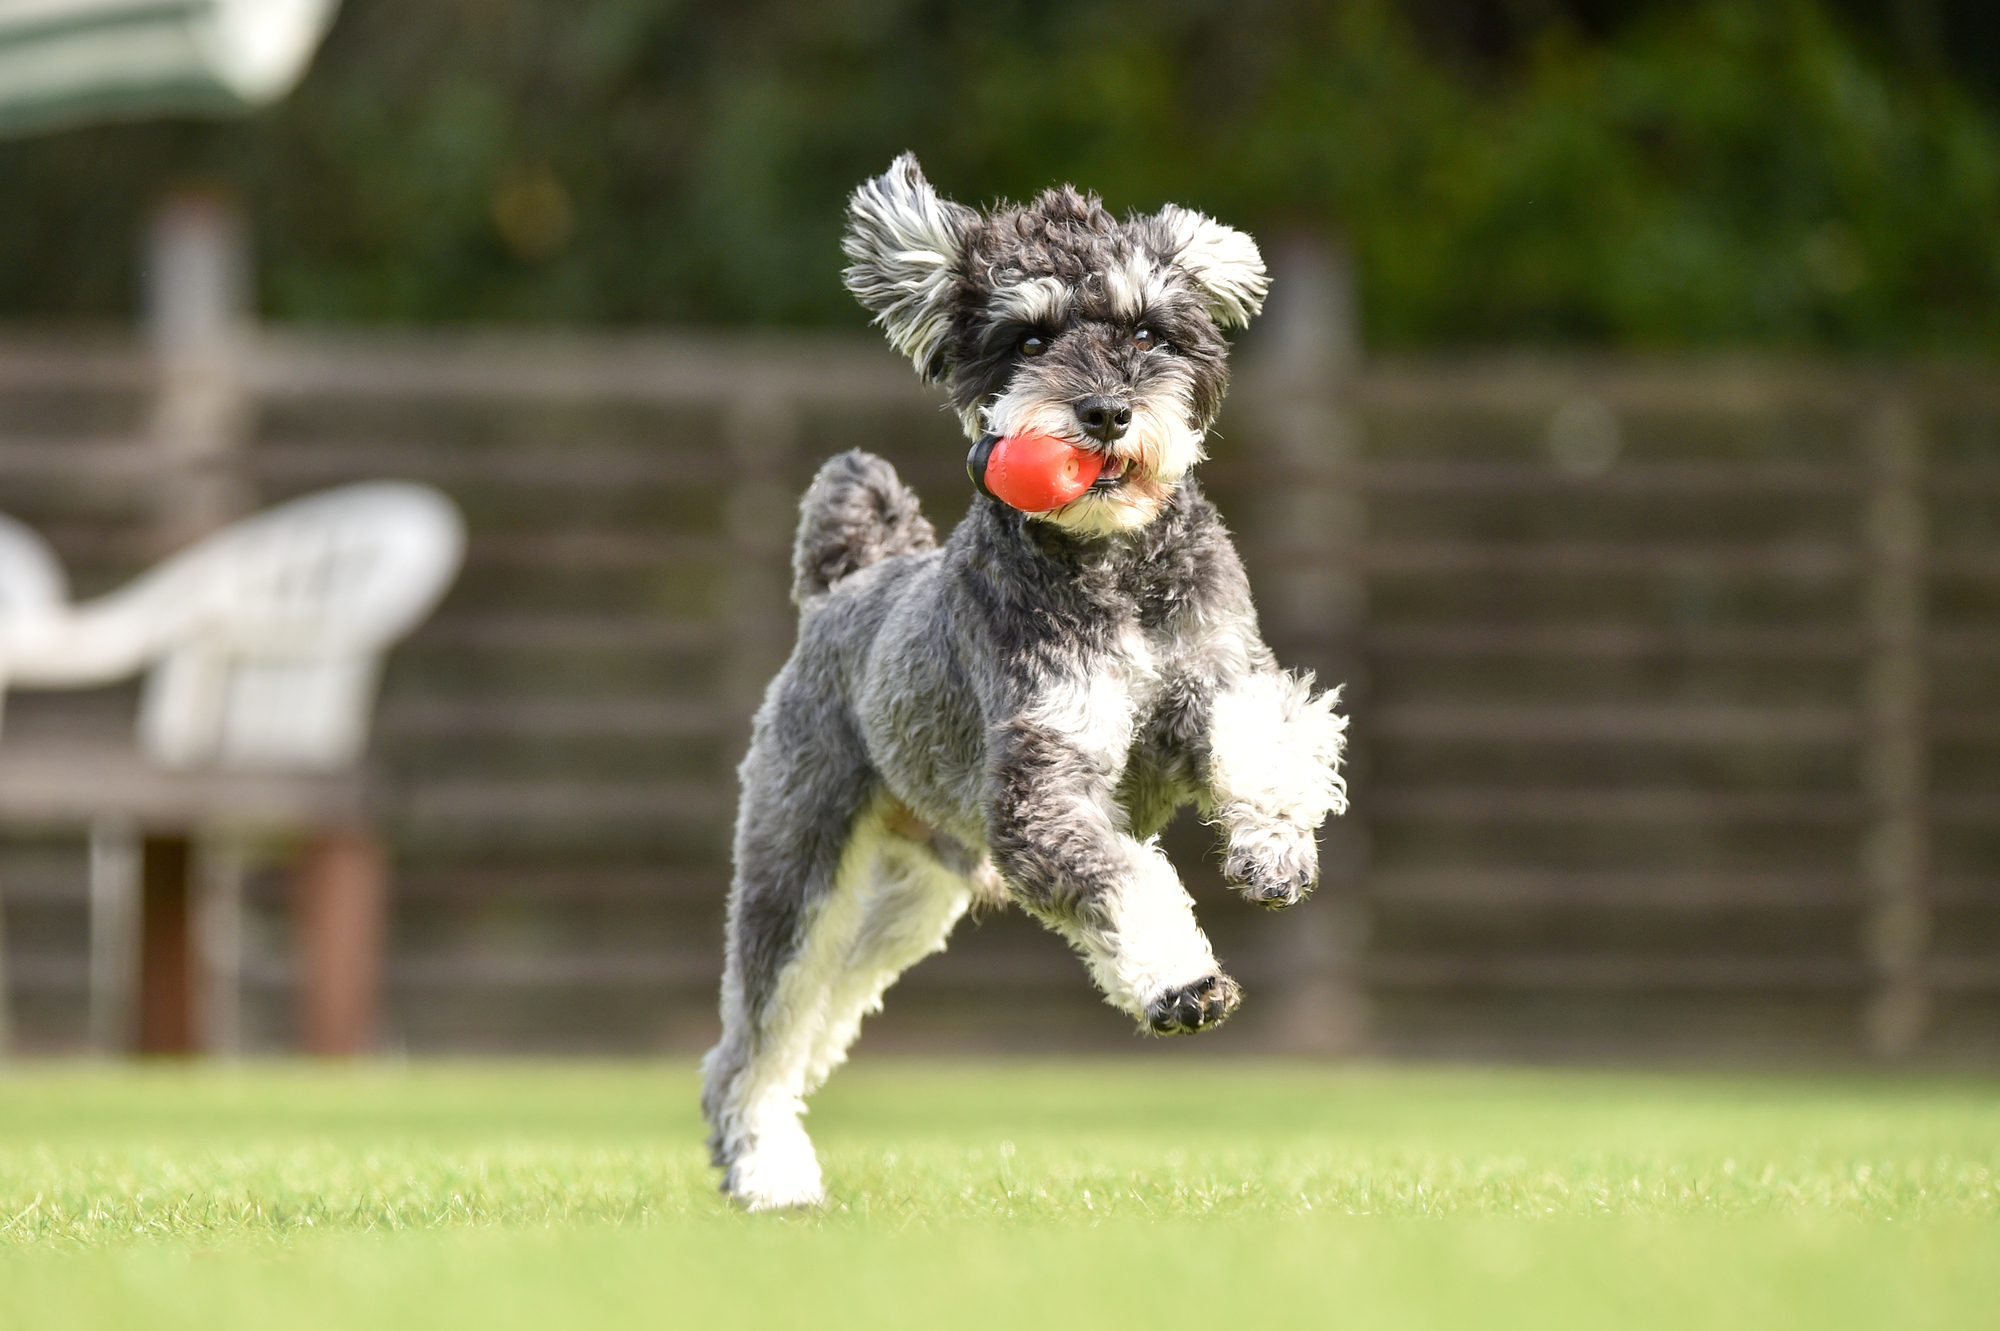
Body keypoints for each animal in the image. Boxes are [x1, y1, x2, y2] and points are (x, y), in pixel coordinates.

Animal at [700, 152, 1344, 1199]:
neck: (1111, 562)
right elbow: (1122, 877)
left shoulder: (1223, 672)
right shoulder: (1042, 788)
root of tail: (846, 582)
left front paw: (1274, 849)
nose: (1106, 411)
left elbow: (1260, 736)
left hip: (905, 904)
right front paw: (1180, 981)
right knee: (756, 1035)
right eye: (1029, 337)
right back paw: (764, 1166)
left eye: (1145, 330)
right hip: (795, 872)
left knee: (820, 1020)